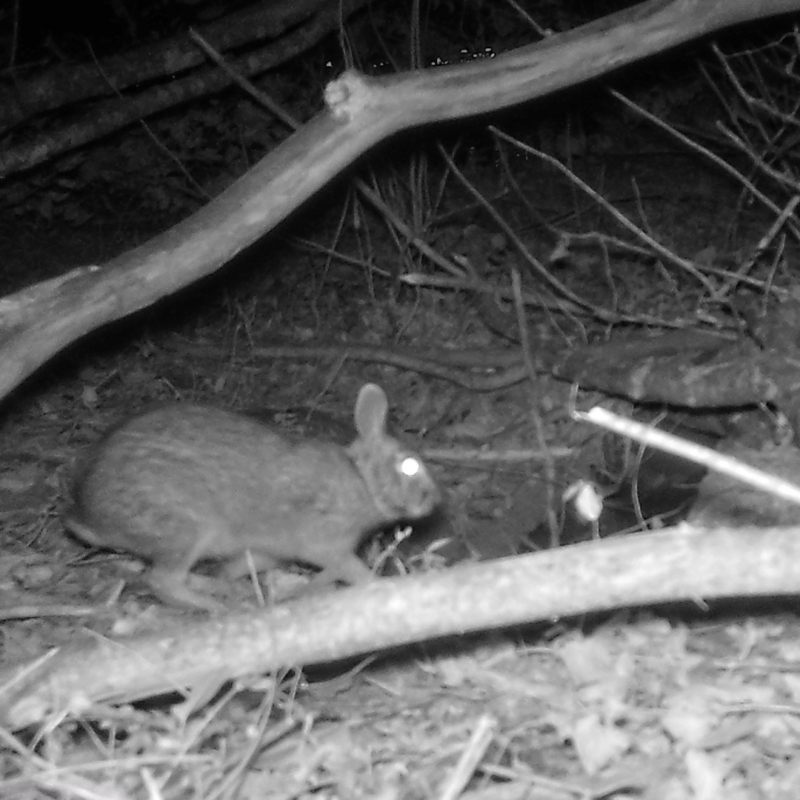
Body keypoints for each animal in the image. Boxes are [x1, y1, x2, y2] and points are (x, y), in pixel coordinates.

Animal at [63, 384, 440, 608]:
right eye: (409, 465)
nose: (432, 500)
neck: (362, 480)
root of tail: (87, 514)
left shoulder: (269, 551)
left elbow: (246, 565)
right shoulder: (326, 543)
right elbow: (353, 570)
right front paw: (380, 585)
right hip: (183, 529)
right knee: (162, 581)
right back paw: (216, 606)